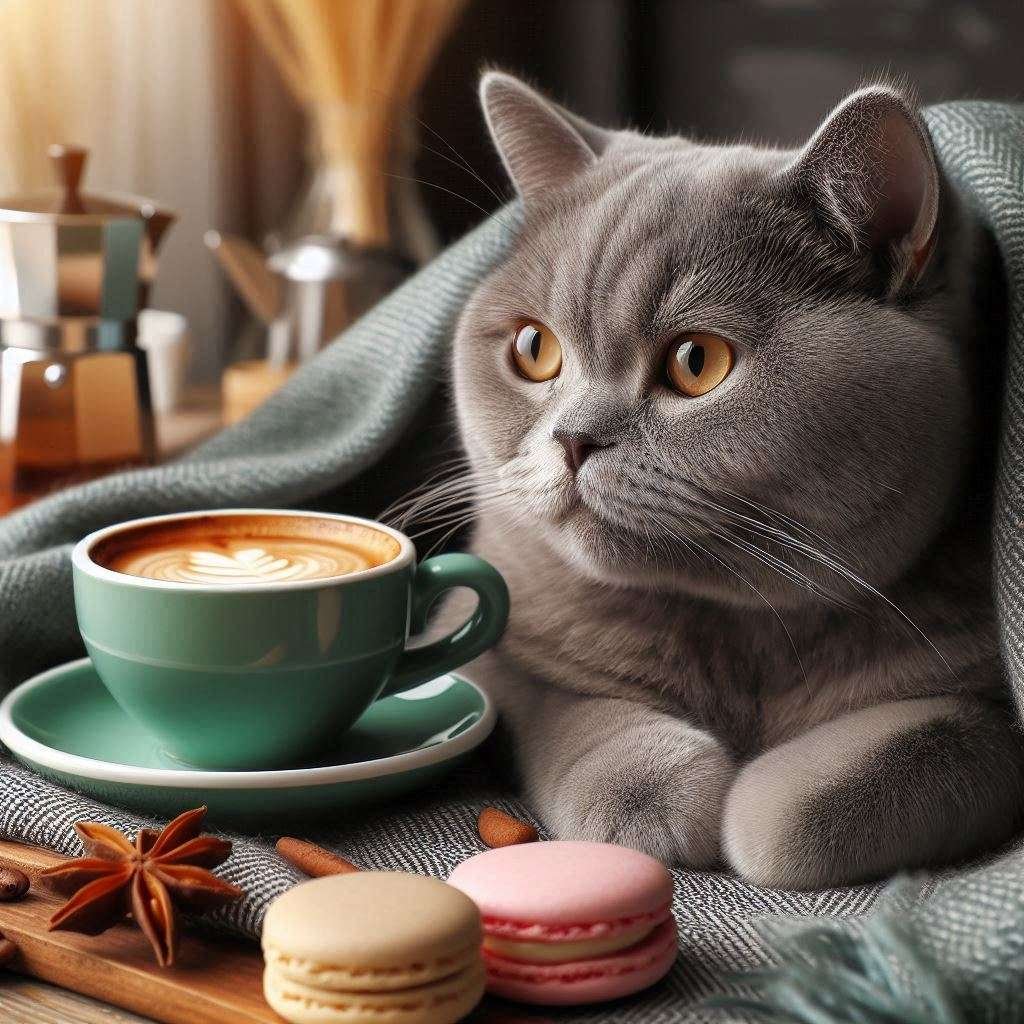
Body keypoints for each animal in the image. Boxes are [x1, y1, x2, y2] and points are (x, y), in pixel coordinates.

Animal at [403, 72, 1019, 888]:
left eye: (698, 362)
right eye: (535, 349)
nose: (573, 437)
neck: (736, 632)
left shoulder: (989, 701)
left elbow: (892, 760)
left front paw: (759, 808)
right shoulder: (502, 637)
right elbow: (565, 703)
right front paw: (651, 797)